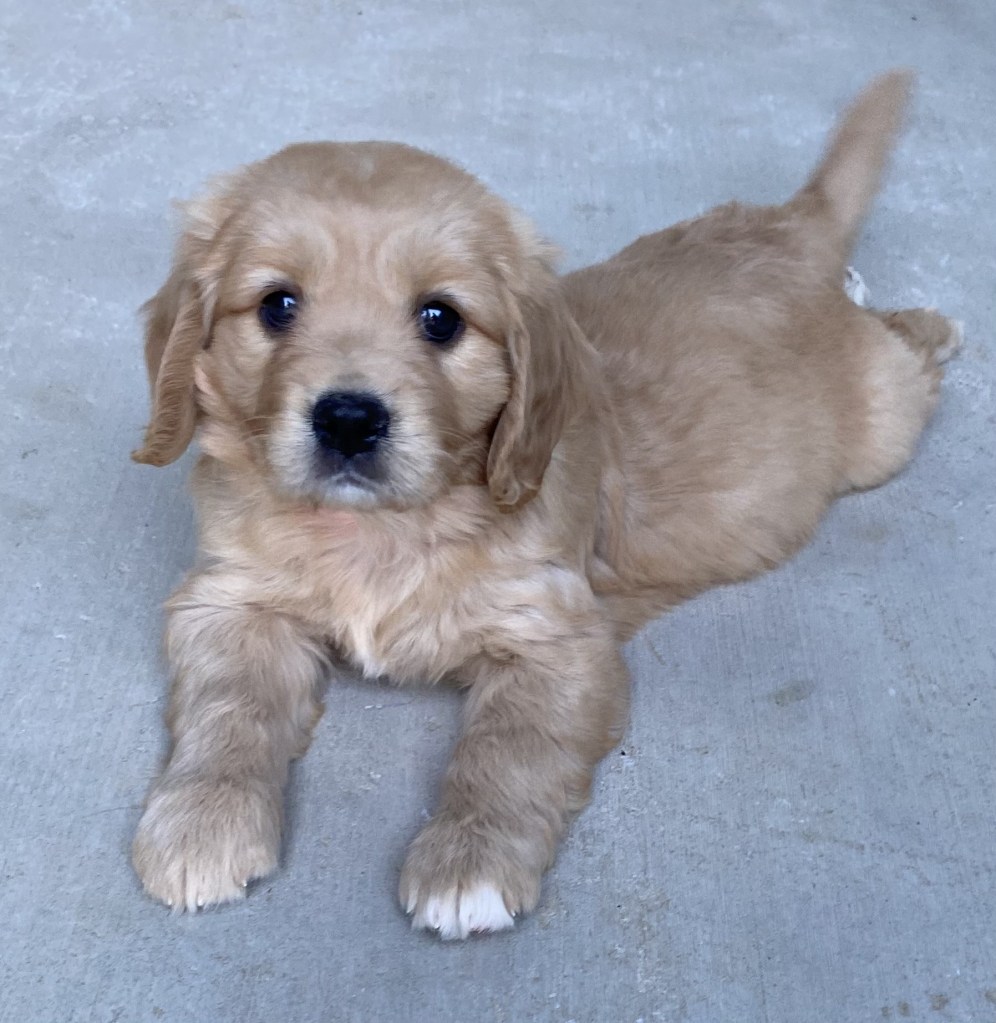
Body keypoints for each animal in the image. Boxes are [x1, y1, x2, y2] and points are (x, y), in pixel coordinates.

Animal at [131, 71, 958, 939]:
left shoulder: (557, 637)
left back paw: (927, 324)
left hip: (885, 426)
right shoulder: (228, 598)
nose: (349, 419)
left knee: (906, 359)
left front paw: (470, 859)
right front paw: (200, 819)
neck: (380, 529)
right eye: (277, 306)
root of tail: (789, 231)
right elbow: (228, 707)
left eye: (441, 318)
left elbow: (511, 746)